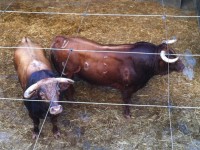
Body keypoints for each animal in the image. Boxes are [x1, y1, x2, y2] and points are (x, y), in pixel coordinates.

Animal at [50, 35, 184, 118]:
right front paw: (127, 115)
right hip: (66, 73)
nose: (182, 66)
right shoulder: (127, 88)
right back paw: (73, 102)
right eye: (170, 57)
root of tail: (60, 39)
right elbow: (126, 101)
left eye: (174, 52)